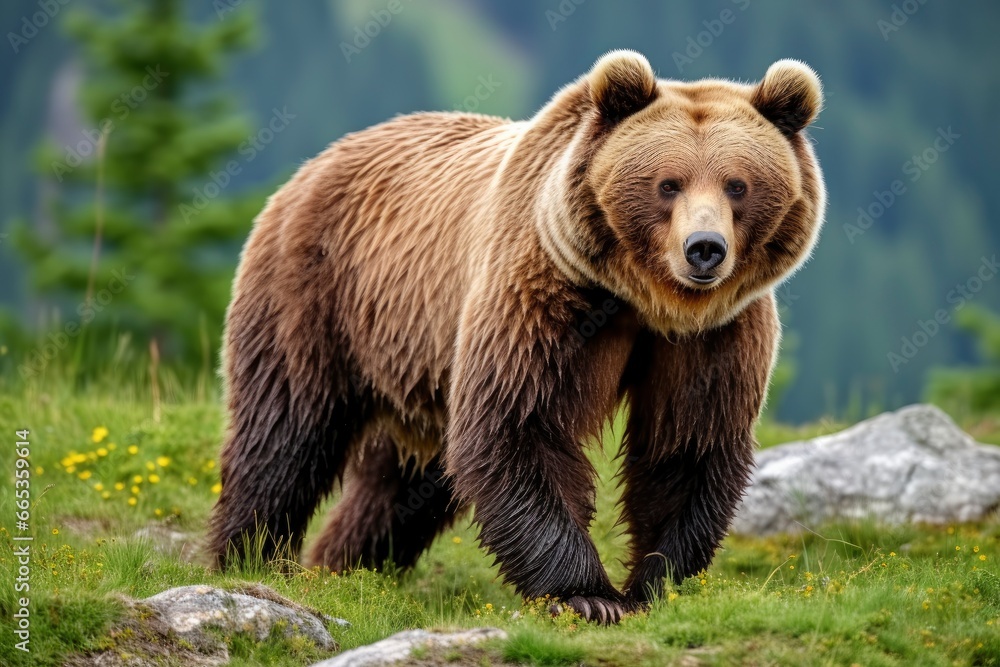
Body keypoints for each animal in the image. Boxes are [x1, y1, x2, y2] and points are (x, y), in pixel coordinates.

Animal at [207, 50, 825, 624]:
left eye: (737, 185)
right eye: (667, 184)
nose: (704, 249)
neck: (643, 299)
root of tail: (316, 163)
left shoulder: (713, 334)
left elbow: (687, 444)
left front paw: (654, 584)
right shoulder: (545, 294)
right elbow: (521, 425)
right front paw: (586, 595)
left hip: (415, 357)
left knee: (400, 485)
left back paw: (348, 565)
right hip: (317, 290)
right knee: (285, 431)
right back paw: (250, 558)